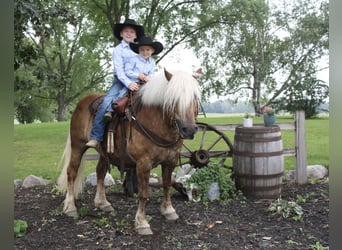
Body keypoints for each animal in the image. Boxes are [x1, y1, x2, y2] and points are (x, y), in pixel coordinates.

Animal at [57, 68, 202, 234]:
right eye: (173, 98)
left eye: (195, 98)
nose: (188, 129)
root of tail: (82, 101)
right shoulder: (143, 163)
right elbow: (143, 193)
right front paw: (142, 222)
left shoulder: (170, 160)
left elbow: (167, 185)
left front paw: (168, 210)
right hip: (78, 145)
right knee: (71, 172)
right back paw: (70, 207)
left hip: (104, 153)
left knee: (100, 172)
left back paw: (103, 203)